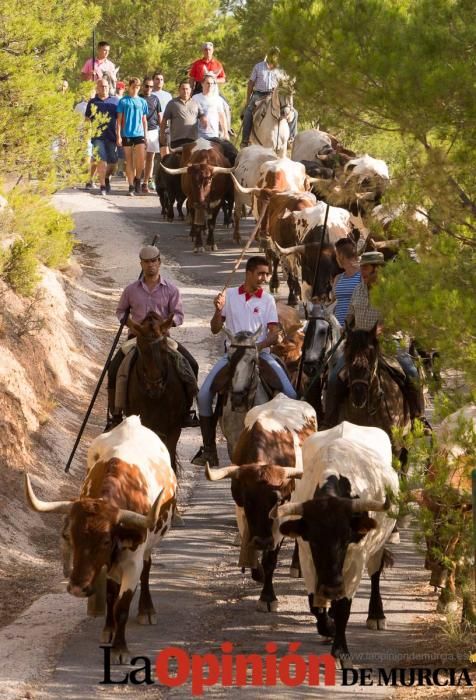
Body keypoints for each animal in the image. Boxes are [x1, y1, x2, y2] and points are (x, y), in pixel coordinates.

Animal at [24, 416, 177, 668]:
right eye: (69, 536)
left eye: (106, 540)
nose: (77, 588)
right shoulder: (103, 565)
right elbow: (110, 596)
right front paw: (109, 630)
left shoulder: (132, 563)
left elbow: (122, 606)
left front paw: (120, 649)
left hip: (148, 547)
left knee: (147, 569)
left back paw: (146, 610)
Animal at [205, 394, 316, 612]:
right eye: (248, 500)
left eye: (278, 501)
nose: (263, 542)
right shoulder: (240, 511)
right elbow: (249, 542)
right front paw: (257, 572)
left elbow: (270, 559)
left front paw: (267, 597)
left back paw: (296, 566)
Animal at [272, 424, 398, 664]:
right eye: (314, 540)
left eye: (346, 538)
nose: (331, 587)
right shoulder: (306, 557)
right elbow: (315, 603)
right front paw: (328, 629)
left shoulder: (356, 560)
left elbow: (343, 607)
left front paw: (340, 649)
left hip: (377, 545)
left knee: (375, 574)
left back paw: (376, 615)